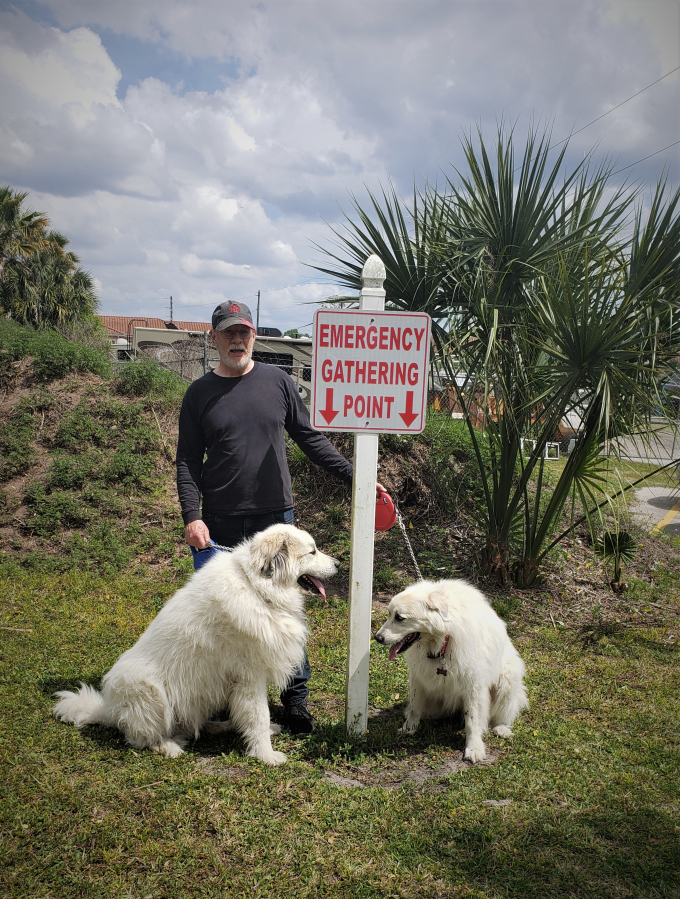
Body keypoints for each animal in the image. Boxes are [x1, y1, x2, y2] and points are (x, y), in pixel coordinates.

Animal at [52, 520, 338, 768]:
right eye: (312, 551)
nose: (338, 563)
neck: (256, 588)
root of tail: (110, 711)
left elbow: (254, 716)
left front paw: (263, 737)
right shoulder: (250, 677)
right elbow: (258, 715)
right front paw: (265, 755)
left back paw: (222, 726)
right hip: (147, 689)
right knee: (139, 739)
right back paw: (168, 746)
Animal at [374, 580, 528, 764]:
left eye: (399, 618)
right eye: (389, 614)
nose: (377, 638)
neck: (443, 641)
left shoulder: (474, 685)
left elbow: (472, 720)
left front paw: (474, 748)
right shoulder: (418, 677)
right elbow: (415, 707)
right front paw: (409, 728)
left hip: (508, 678)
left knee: (503, 712)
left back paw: (501, 728)